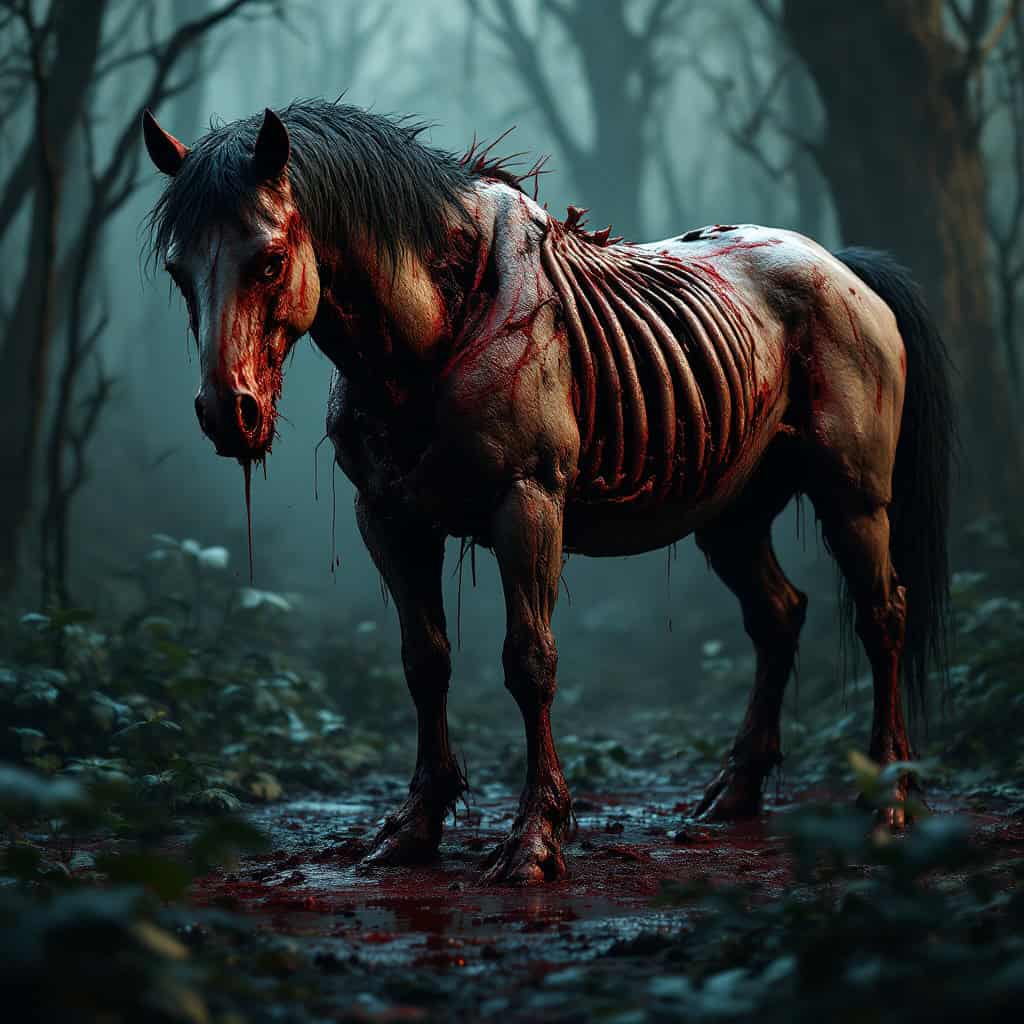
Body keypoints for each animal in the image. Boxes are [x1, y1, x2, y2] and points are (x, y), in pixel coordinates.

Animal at [143, 99, 953, 885]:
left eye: (270, 261)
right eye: (179, 272)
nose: (228, 413)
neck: (431, 325)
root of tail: (841, 267)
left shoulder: (527, 502)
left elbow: (529, 663)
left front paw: (535, 840)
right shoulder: (389, 517)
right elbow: (423, 661)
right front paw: (413, 829)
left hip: (851, 496)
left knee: (883, 615)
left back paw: (889, 800)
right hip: (732, 511)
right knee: (778, 616)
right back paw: (735, 794)